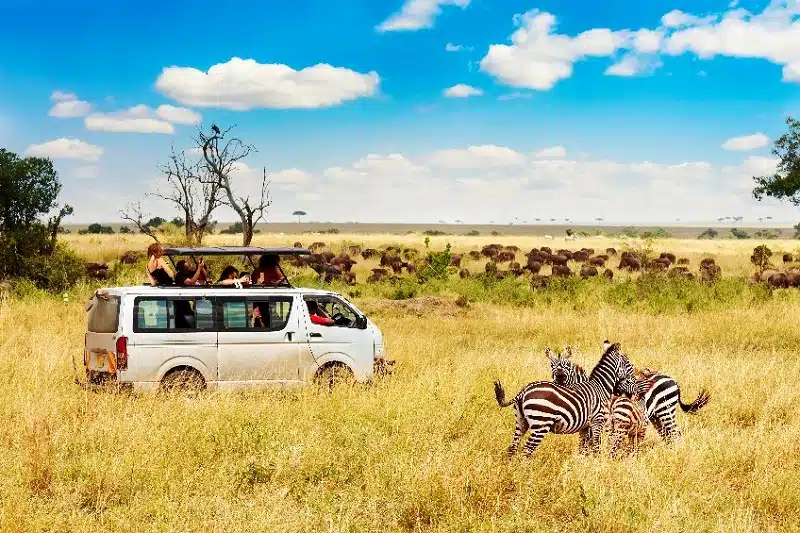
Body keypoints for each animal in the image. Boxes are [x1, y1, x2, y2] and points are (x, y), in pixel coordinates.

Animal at [490, 342, 636, 456]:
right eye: (629, 364)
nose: (636, 388)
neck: (600, 386)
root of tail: (523, 391)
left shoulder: (585, 427)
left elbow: (583, 448)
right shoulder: (597, 421)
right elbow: (595, 447)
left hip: (521, 421)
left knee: (512, 448)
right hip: (540, 423)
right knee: (526, 451)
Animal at [552, 344, 712, 440]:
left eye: (565, 370)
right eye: (552, 369)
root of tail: (673, 380)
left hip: (666, 410)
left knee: (674, 432)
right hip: (656, 416)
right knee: (666, 434)